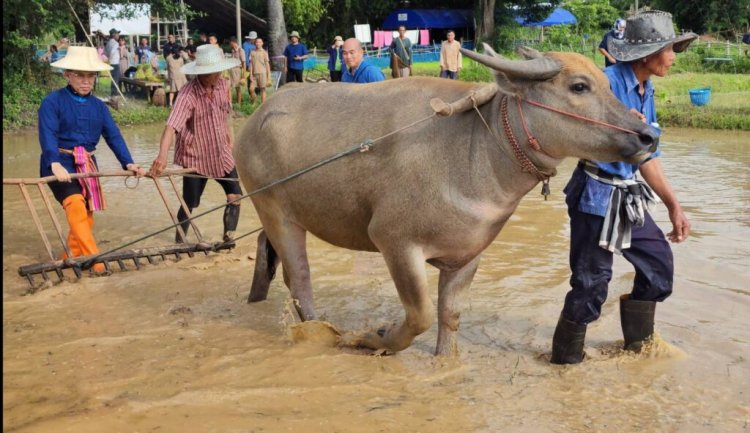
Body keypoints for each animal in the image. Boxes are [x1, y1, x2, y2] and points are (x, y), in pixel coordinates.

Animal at [235, 44, 656, 354]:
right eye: (579, 87)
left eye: (608, 85)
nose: (648, 135)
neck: (475, 152)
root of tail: (256, 118)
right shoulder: (394, 241)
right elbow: (419, 314)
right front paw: (373, 338)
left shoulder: (467, 255)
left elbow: (449, 317)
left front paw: (446, 363)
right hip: (273, 208)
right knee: (299, 276)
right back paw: (318, 328)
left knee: (267, 253)